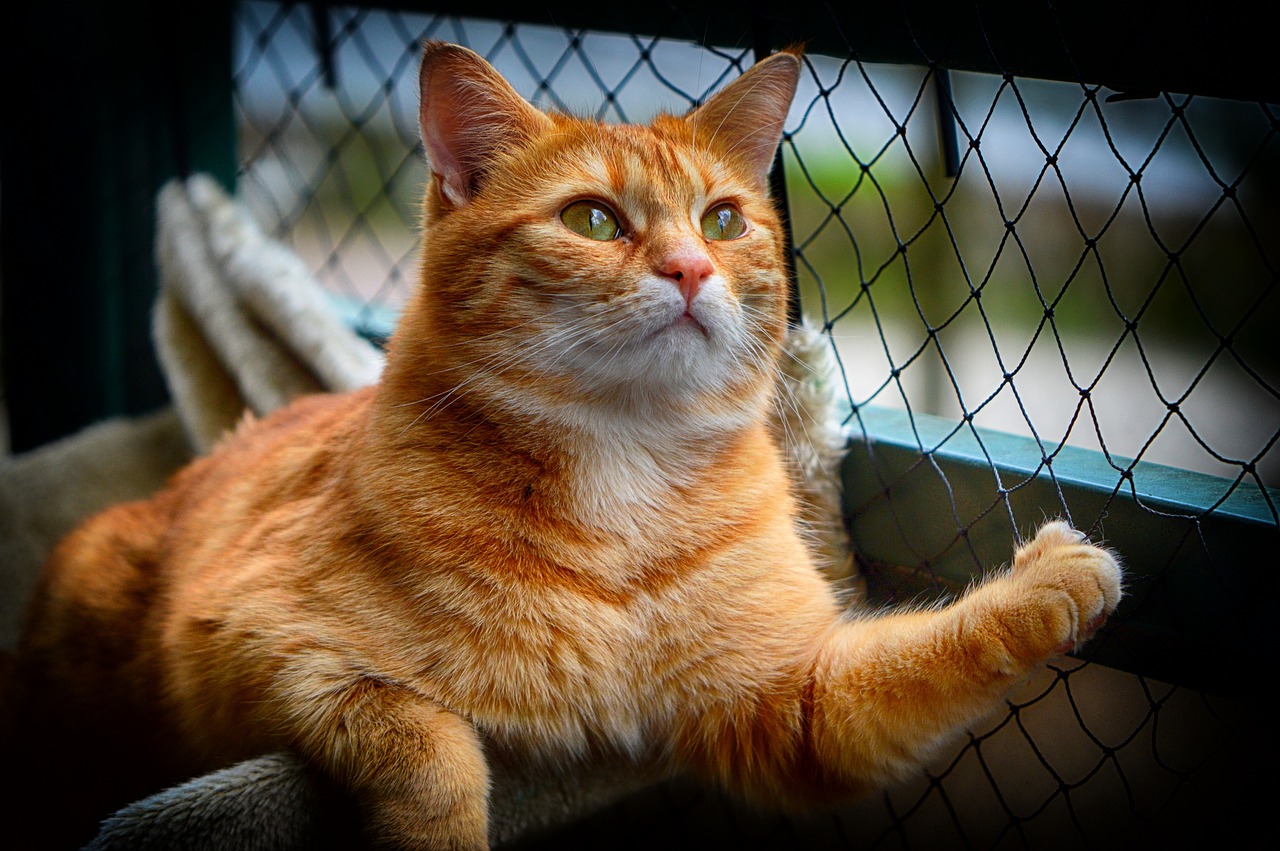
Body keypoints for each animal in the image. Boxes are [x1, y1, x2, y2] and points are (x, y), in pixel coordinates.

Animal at [0, 43, 1121, 844]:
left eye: (723, 221)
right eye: (591, 218)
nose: (688, 269)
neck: (624, 470)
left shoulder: (787, 703)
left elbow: (929, 652)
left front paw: (1052, 582)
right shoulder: (253, 644)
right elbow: (429, 742)